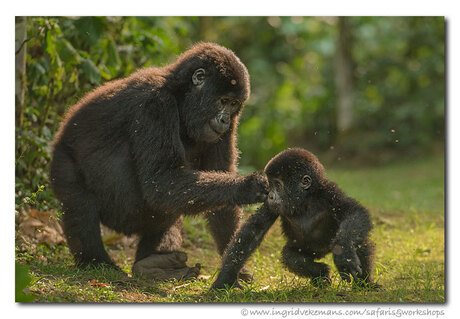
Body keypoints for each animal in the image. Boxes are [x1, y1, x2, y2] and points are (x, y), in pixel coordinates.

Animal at [50, 42, 268, 280]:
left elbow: (218, 188)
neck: (180, 95)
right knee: (80, 204)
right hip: (63, 162)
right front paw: (245, 187)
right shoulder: (155, 103)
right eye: (223, 101)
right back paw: (96, 261)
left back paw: (153, 263)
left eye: (234, 104)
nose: (225, 120)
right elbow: (162, 182)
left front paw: (234, 264)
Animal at [212, 149, 378, 292]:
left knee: (360, 242)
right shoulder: (271, 206)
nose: (270, 196)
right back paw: (320, 274)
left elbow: (354, 211)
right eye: (270, 184)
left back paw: (365, 283)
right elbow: (254, 231)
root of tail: (324, 251)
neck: (306, 198)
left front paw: (344, 252)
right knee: (291, 257)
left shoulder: (330, 192)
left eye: (278, 185)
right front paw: (225, 279)